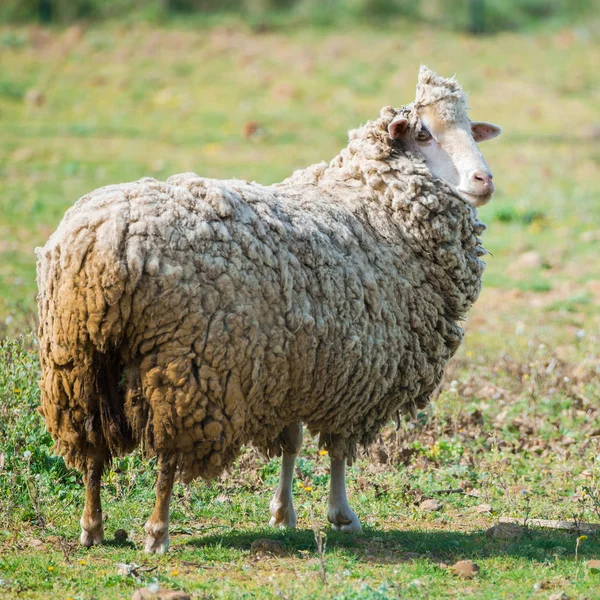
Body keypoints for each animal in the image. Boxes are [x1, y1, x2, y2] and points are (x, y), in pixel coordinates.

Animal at [35, 67, 500, 552]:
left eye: (471, 129)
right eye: (424, 133)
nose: (483, 180)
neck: (373, 201)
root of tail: (106, 244)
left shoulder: (297, 364)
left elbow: (293, 441)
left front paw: (283, 512)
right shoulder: (353, 375)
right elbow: (337, 447)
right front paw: (341, 514)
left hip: (77, 363)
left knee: (90, 447)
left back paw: (92, 526)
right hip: (183, 367)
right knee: (166, 458)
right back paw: (157, 532)